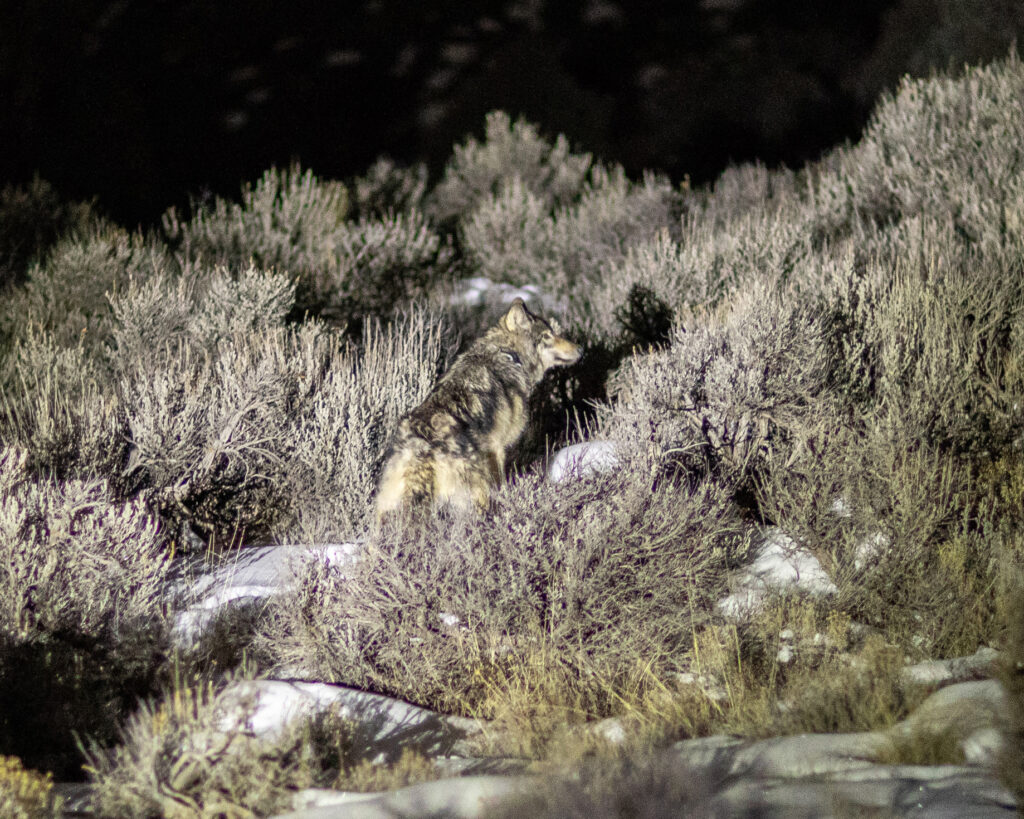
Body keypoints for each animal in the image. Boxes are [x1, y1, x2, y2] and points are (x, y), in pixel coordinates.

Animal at [375, 298, 581, 521]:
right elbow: (501, 484)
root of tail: (420, 446)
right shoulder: (498, 448)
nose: (581, 349)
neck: (507, 355)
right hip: (475, 488)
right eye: (547, 336)